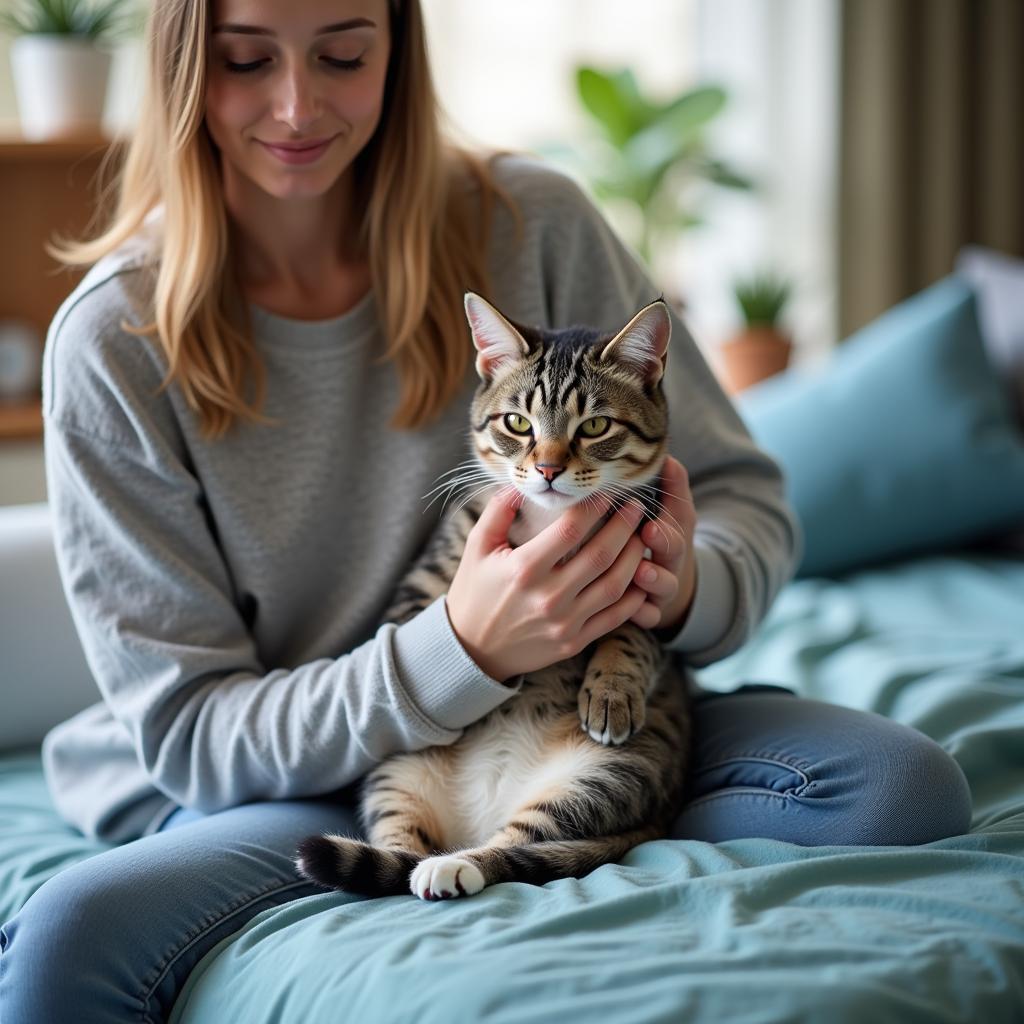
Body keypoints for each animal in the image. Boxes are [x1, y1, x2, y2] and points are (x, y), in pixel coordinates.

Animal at [299, 292, 692, 901]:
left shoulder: (652, 572)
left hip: (608, 774)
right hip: (397, 768)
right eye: (517, 422)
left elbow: (635, 630)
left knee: (520, 842)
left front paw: (612, 690)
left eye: (595, 425)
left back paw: (456, 865)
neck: (546, 526)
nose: (548, 468)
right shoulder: (423, 587)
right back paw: (421, 864)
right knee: (401, 843)